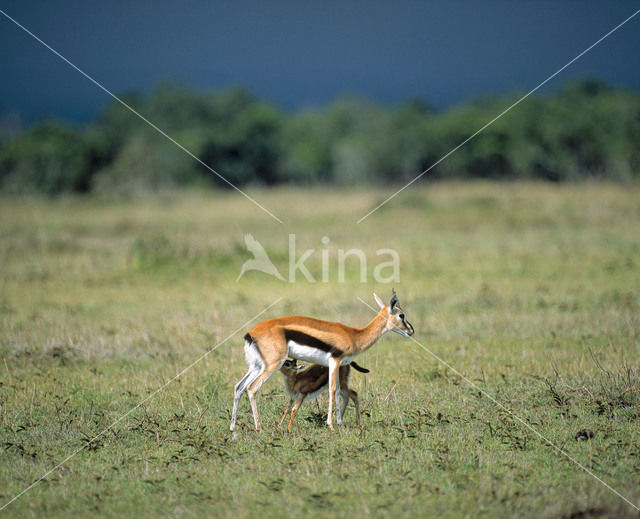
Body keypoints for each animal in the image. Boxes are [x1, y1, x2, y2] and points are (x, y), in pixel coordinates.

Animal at [230, 288, 416, 434]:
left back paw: (232, 428)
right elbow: (333, 390)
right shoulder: (335, 361)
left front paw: (340, 424)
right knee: (252, 388)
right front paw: (331, 425)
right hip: (272, 365)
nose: (411, 331)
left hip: (256, 366)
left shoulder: (339, 366)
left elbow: (340, 390)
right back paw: (259, 428)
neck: (354, 335)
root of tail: (250, 334)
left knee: (239, 387)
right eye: (401, 315)